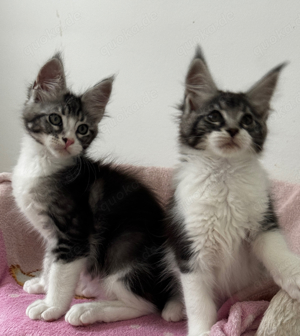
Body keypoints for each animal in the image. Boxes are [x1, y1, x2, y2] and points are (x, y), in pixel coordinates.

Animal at [166, 46, 300, 336]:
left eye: (248, 120)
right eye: (214, 116)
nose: (233, 129)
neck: (224, 173)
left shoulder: (263, 222)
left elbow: (277, 252)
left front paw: (295, 275)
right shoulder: (191, 249)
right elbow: (197, 303)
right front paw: (202, 331)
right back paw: (173, 308)